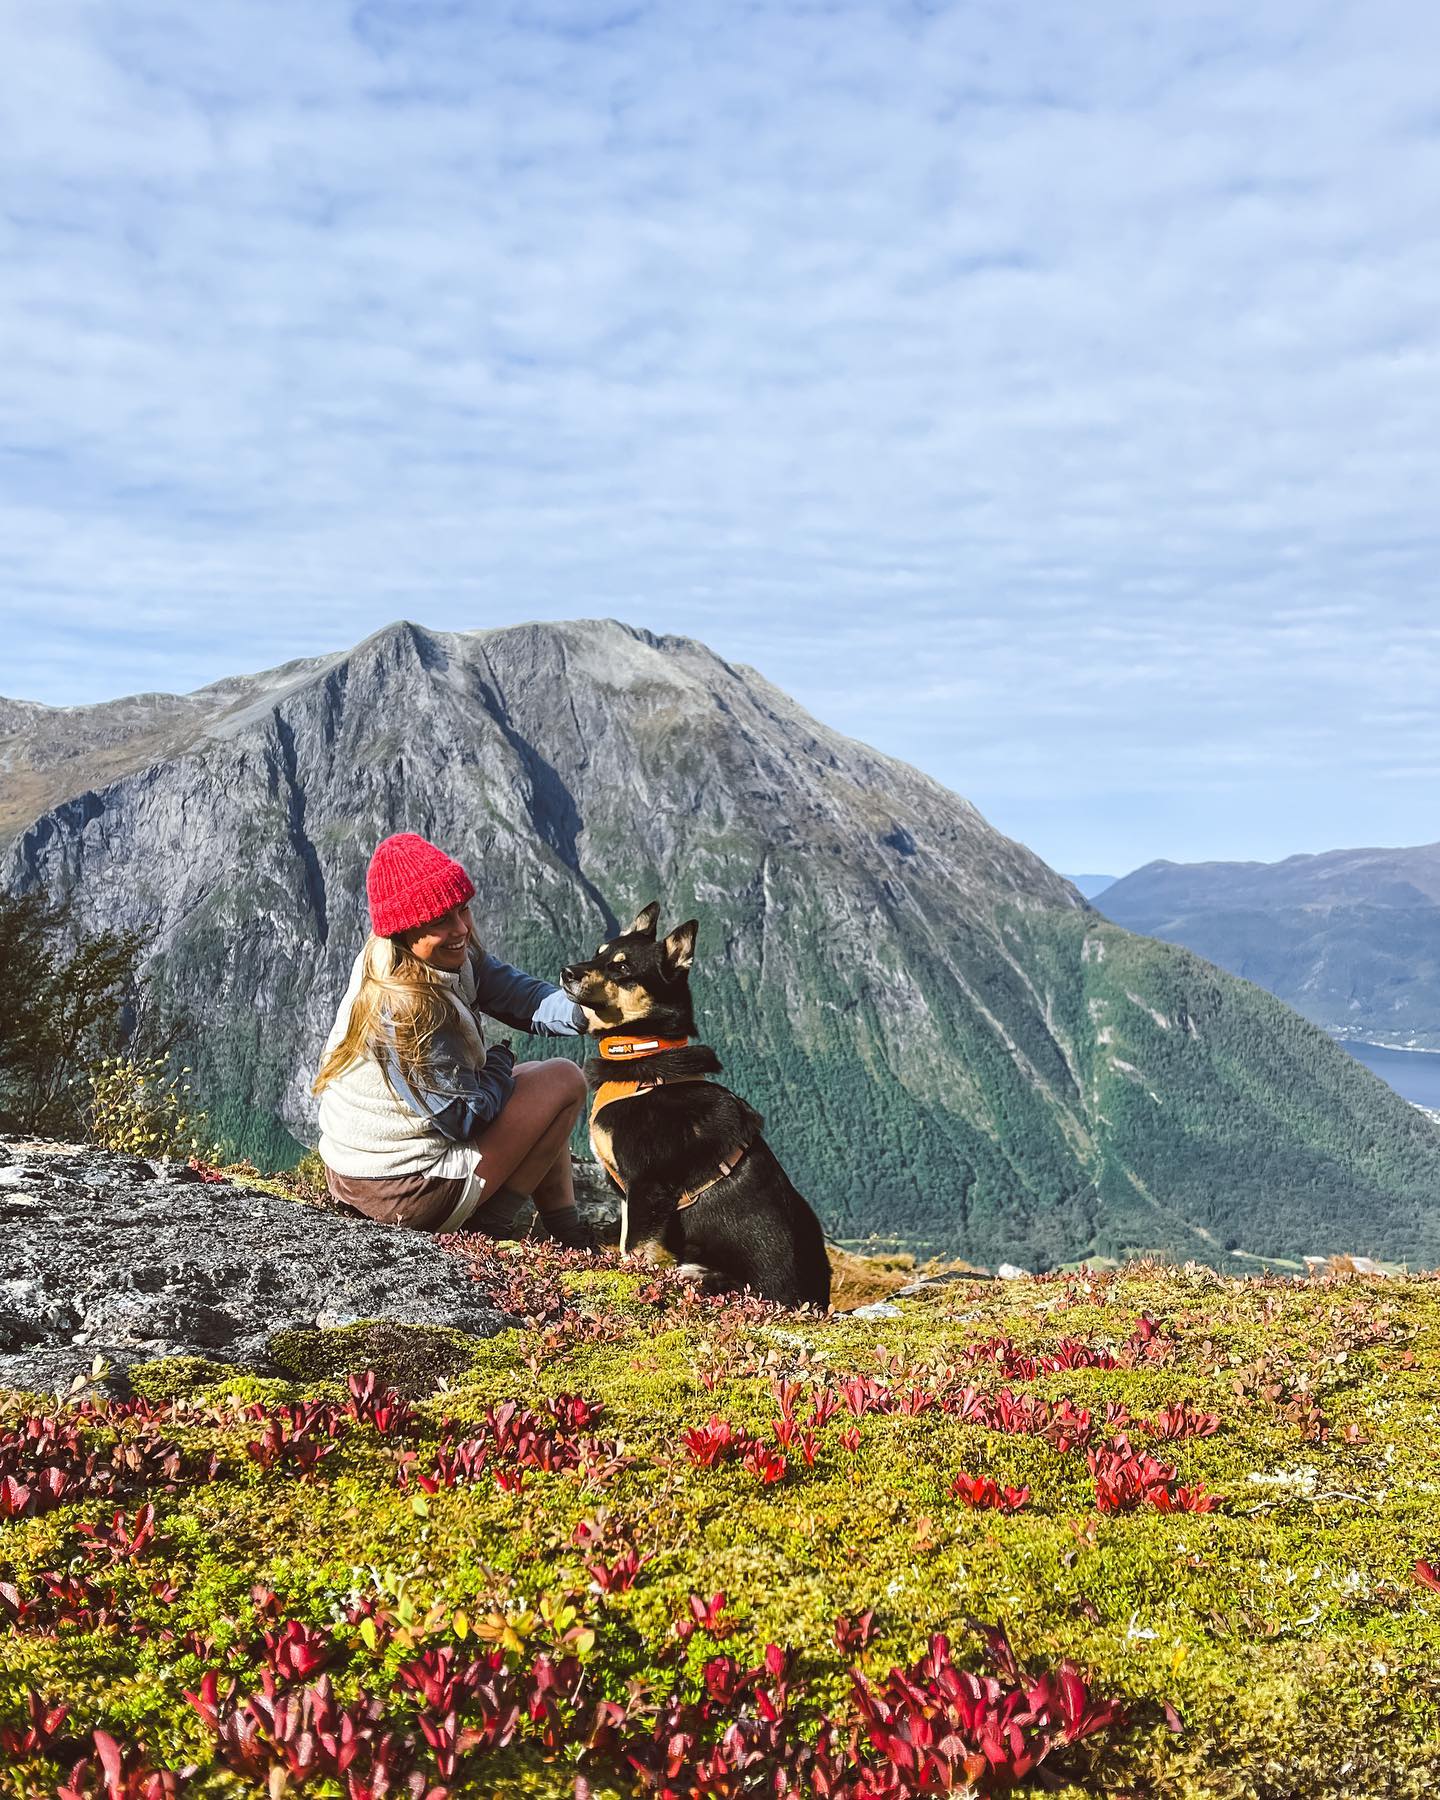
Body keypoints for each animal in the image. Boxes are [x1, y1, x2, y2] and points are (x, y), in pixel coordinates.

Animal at [561, 900, 831, 1310]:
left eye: (622, 968)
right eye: (598, 953)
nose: (566, 972)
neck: (644, 1051)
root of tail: (810, 1304)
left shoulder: (648, 1185)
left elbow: (635, 1248)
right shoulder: (627, 1194)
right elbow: (625, 1240)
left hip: (712, 1274)